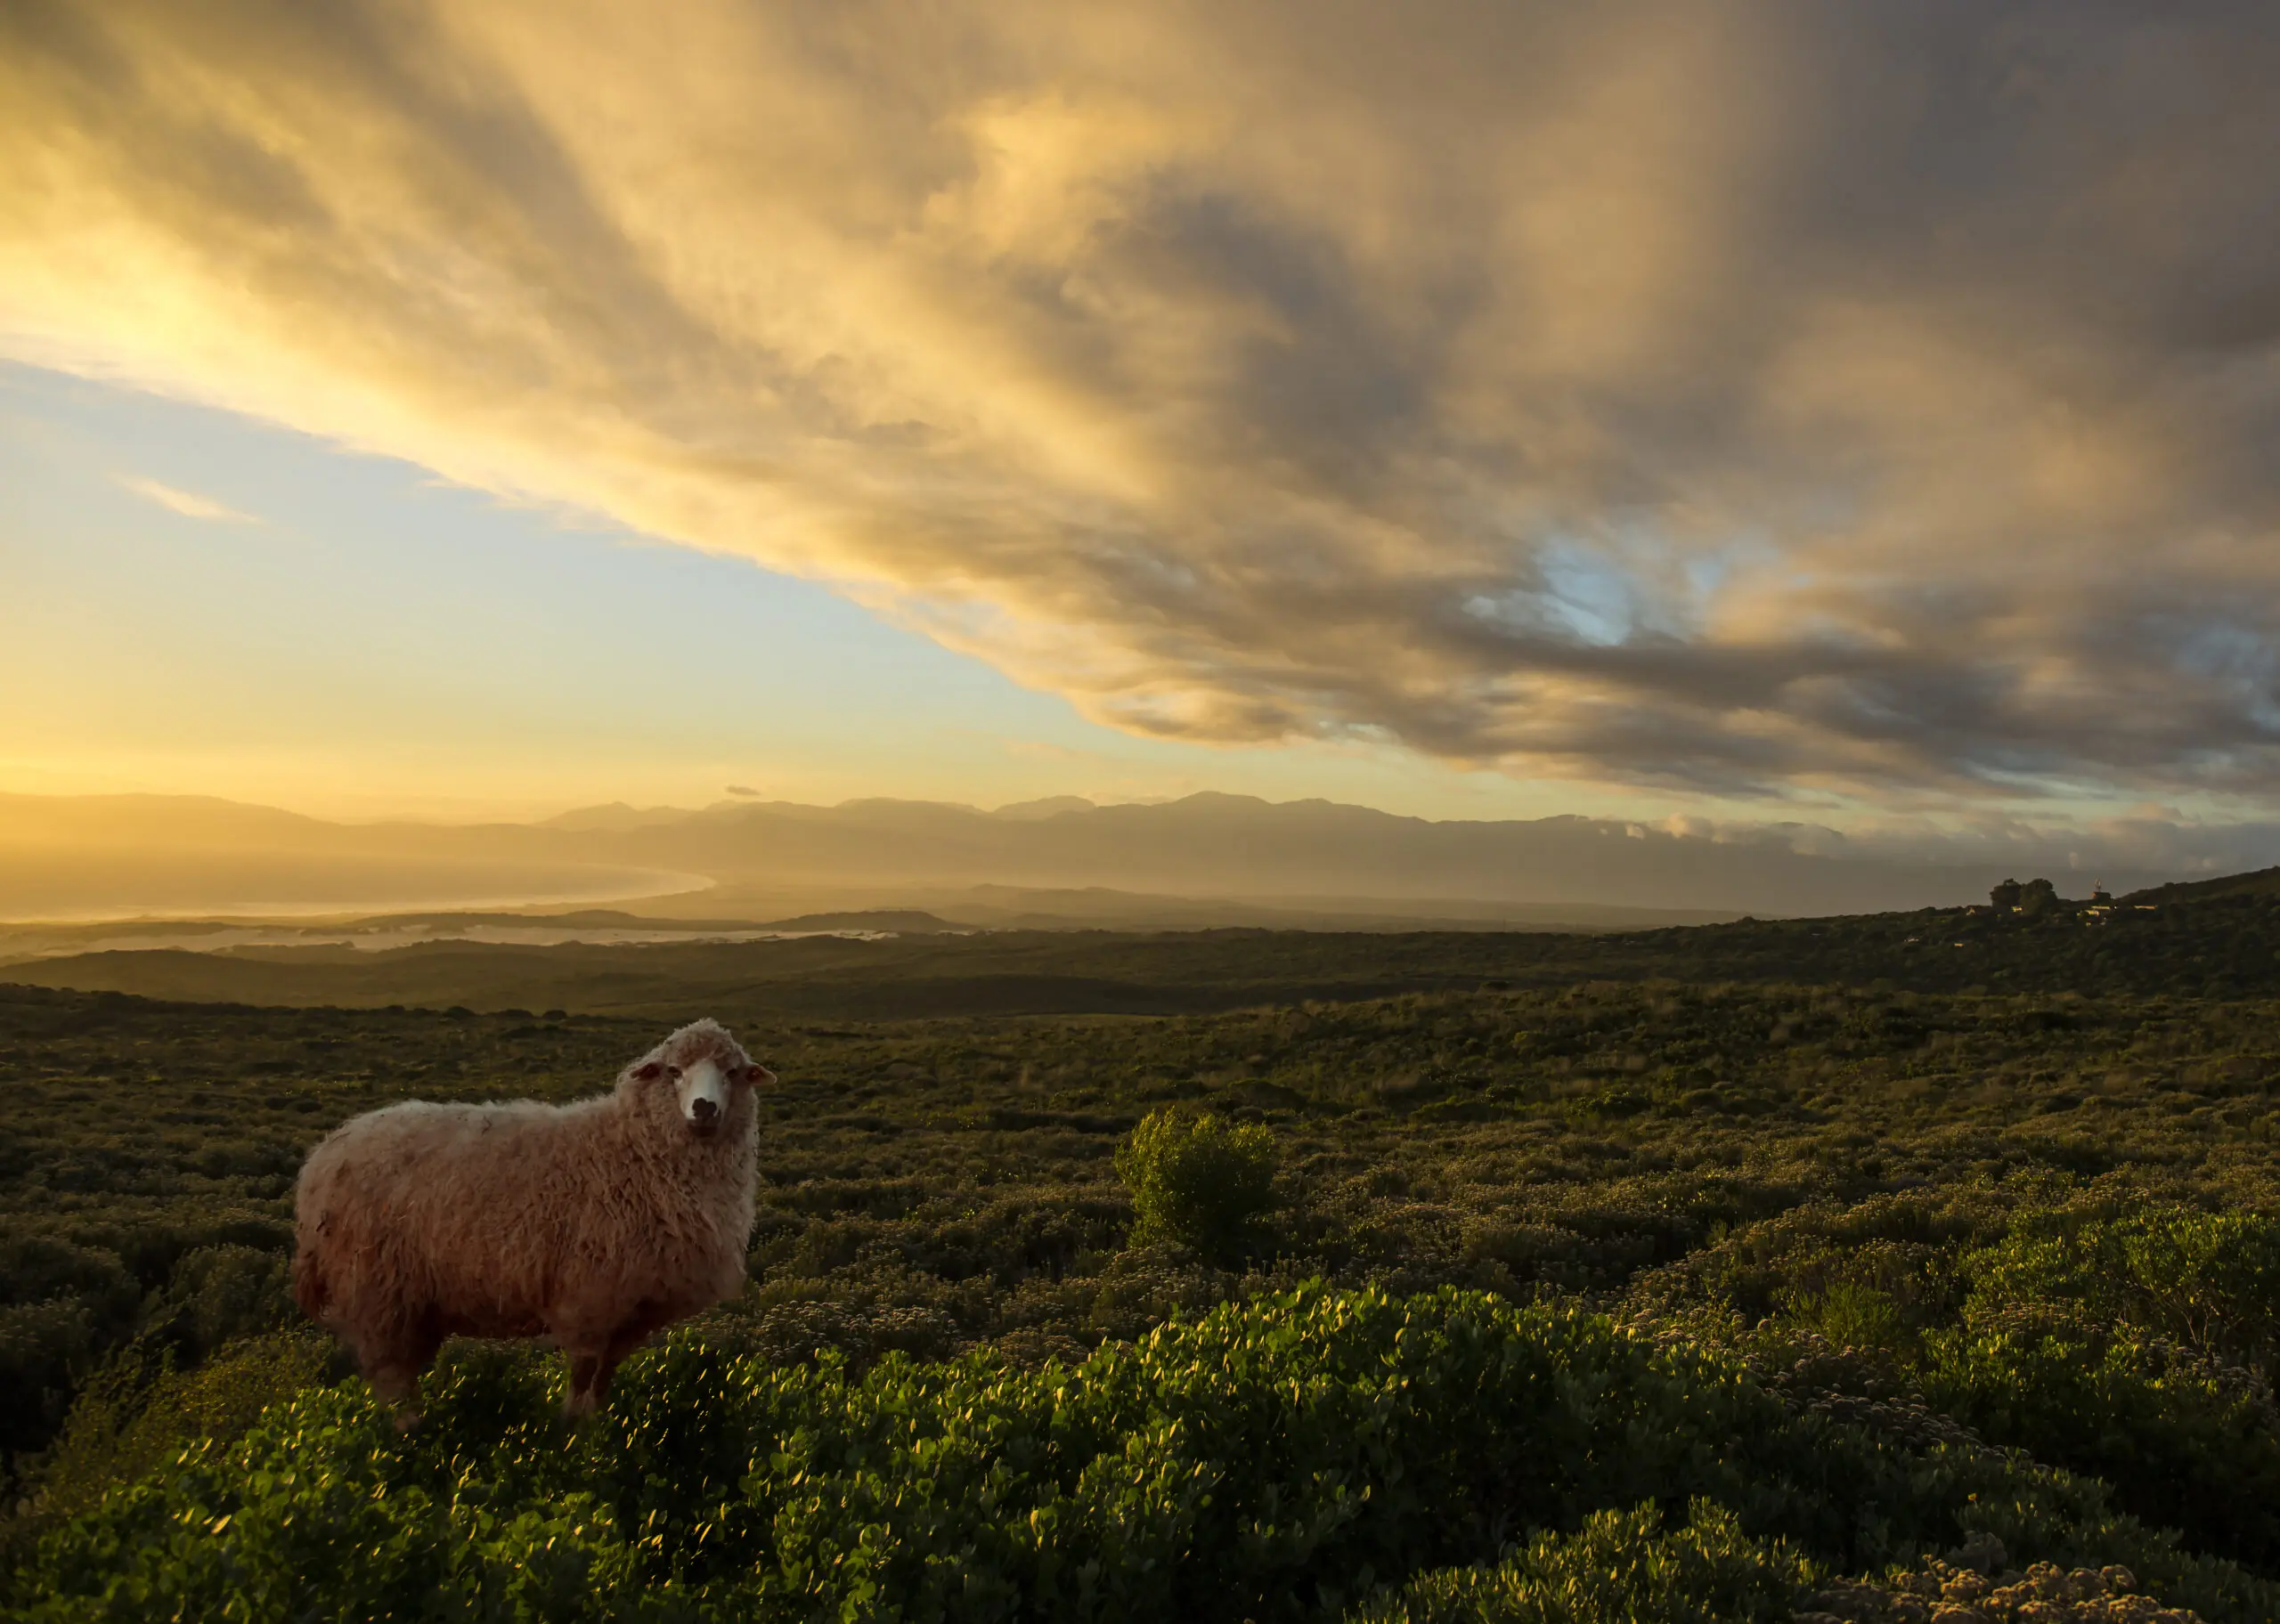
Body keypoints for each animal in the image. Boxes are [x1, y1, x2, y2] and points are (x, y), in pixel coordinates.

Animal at [291, 1012, 775, 1423]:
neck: (634, 1151)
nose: (704, 1108)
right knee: (391, 1382)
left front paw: (599, 1429)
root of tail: (322, 1159)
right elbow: (582, 1378)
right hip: (377, 1290)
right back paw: (409, 1436)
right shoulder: (588, 1297)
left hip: (411, 1303)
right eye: (674, 1071)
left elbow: (603, 1382)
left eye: (733, 1073)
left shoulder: (629, 1309)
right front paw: (575, 1437)